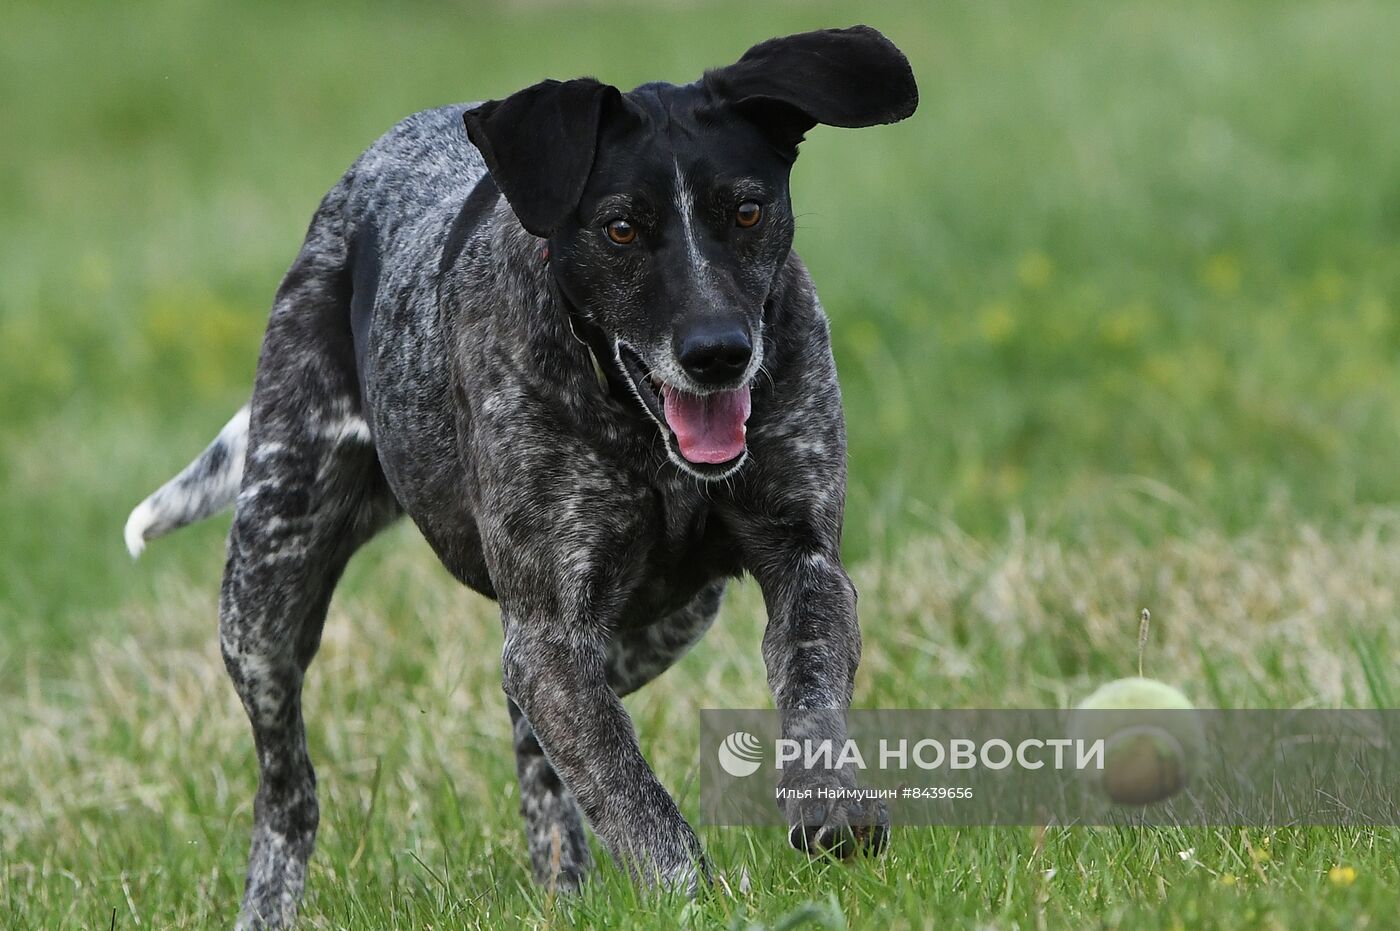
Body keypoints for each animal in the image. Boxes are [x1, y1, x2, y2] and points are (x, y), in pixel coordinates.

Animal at [126, 23, 918, 929]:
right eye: (620, 229)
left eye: (747, 211)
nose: (719, 352)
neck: (637, 424)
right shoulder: (549, 629)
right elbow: (630, 791)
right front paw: (692, 896)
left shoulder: (801, 562)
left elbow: (809, 695)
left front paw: (831, 807)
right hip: (266, 593)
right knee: (289, 790)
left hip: (668, 619)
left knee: (533, 730)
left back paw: (562, 882)